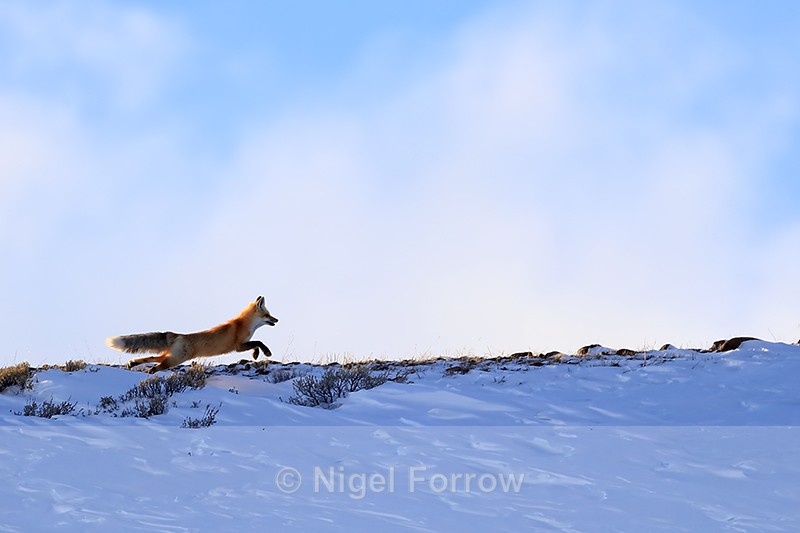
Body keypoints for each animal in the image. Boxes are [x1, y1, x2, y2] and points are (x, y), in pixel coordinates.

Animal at [107, 296, 278, 373]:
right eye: (268, 315)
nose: (277, 319)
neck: (243, 324)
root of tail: (178, 334)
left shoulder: (241, 345)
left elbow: (256, 344)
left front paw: (256, 355)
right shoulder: (238, 346)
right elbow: (258, 342)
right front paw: (264, 353)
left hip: (171, 356)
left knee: (151, 358)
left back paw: (133, 363)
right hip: (174, 360)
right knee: (156, 366)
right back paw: (150, 372)